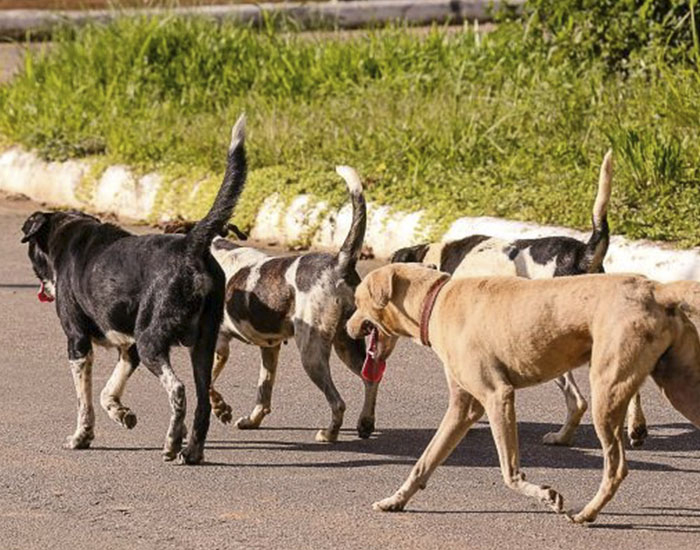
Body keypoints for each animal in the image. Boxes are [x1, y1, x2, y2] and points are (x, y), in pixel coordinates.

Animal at [20, 115, 248, 464]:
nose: (44, 287)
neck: (69, 233)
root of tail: (190, 245)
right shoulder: (129, 348)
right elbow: (106, 391)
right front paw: (120, 412)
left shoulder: (78, 342)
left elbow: (85, 401)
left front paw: (81, 436)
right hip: (201, 345)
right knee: (202, 401)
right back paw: (192, 450)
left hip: (151, 339)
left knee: (178, 390)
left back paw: (172, 442)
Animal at [202, 165, 377, 442]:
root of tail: (338, 263)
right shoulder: (270, 347)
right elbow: (263, 390)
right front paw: (252, 420)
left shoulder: (219, 345)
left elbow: (209, 383)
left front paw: (221, 409)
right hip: (347, 343)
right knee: (371, 379)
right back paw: (365, 423)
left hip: (311, 353)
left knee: (338, 402)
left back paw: (329, 433)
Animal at [346, 263, 700, 523]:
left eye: (357, 301)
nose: (347, 328)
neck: (434, 301)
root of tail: (655, 289)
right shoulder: (464, 408)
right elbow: (424, 461)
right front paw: (396, 500)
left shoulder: (497, 396)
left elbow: (509, 472)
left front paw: (545, 495)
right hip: (680, 389)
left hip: (607, 392)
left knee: (616, 466)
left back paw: (588, 513)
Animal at [387, 151, 649, 447]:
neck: (437, 259)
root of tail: (583, 253)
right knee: (622, 390)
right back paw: (632, 429)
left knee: (578, 401)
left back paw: (564, 436)